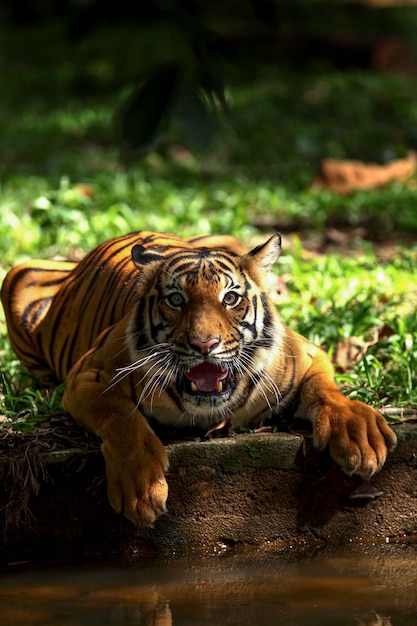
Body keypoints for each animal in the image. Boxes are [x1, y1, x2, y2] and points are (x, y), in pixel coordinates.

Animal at [1, 228, 394, 520]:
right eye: (176, 299)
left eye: (231, 298)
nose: (205, 344)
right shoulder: (89, 374)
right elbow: (122, 418)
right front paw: (141, 488)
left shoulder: (307, 353)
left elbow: (330, 392)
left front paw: (359, 437)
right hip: (16, 275)